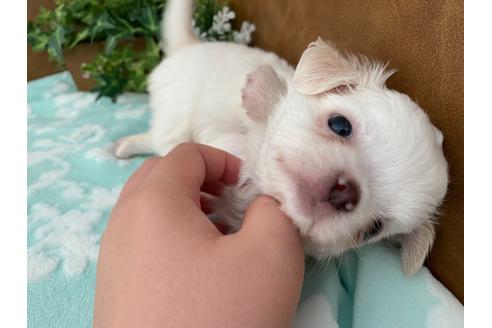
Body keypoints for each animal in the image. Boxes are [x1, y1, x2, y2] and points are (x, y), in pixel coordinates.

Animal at [116, 0, 450, 276]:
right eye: (340, 125)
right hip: (175, 114)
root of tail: (192, 46)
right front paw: (261, 86)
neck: (258, 181)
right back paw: (124, 146)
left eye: (374, 229)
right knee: (158, 138)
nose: (345, 192)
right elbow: (269, 101)